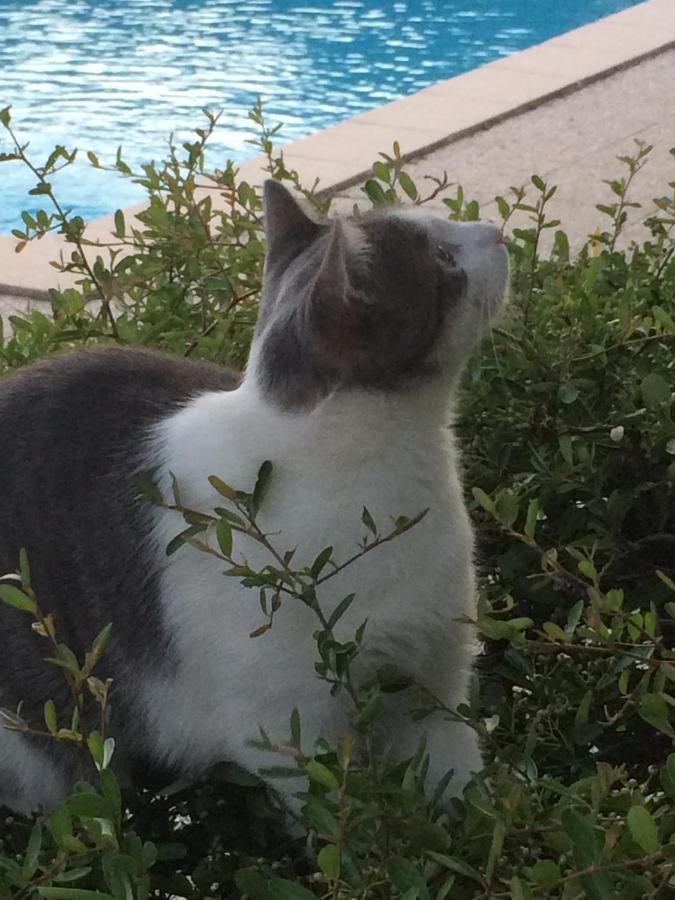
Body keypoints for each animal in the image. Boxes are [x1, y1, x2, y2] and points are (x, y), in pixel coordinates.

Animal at [0, 181, 508, 816]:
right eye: (442, 258)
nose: (497, 232)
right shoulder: (286, 730)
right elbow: (341, 819)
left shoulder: (436, 681)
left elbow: (461, 790)